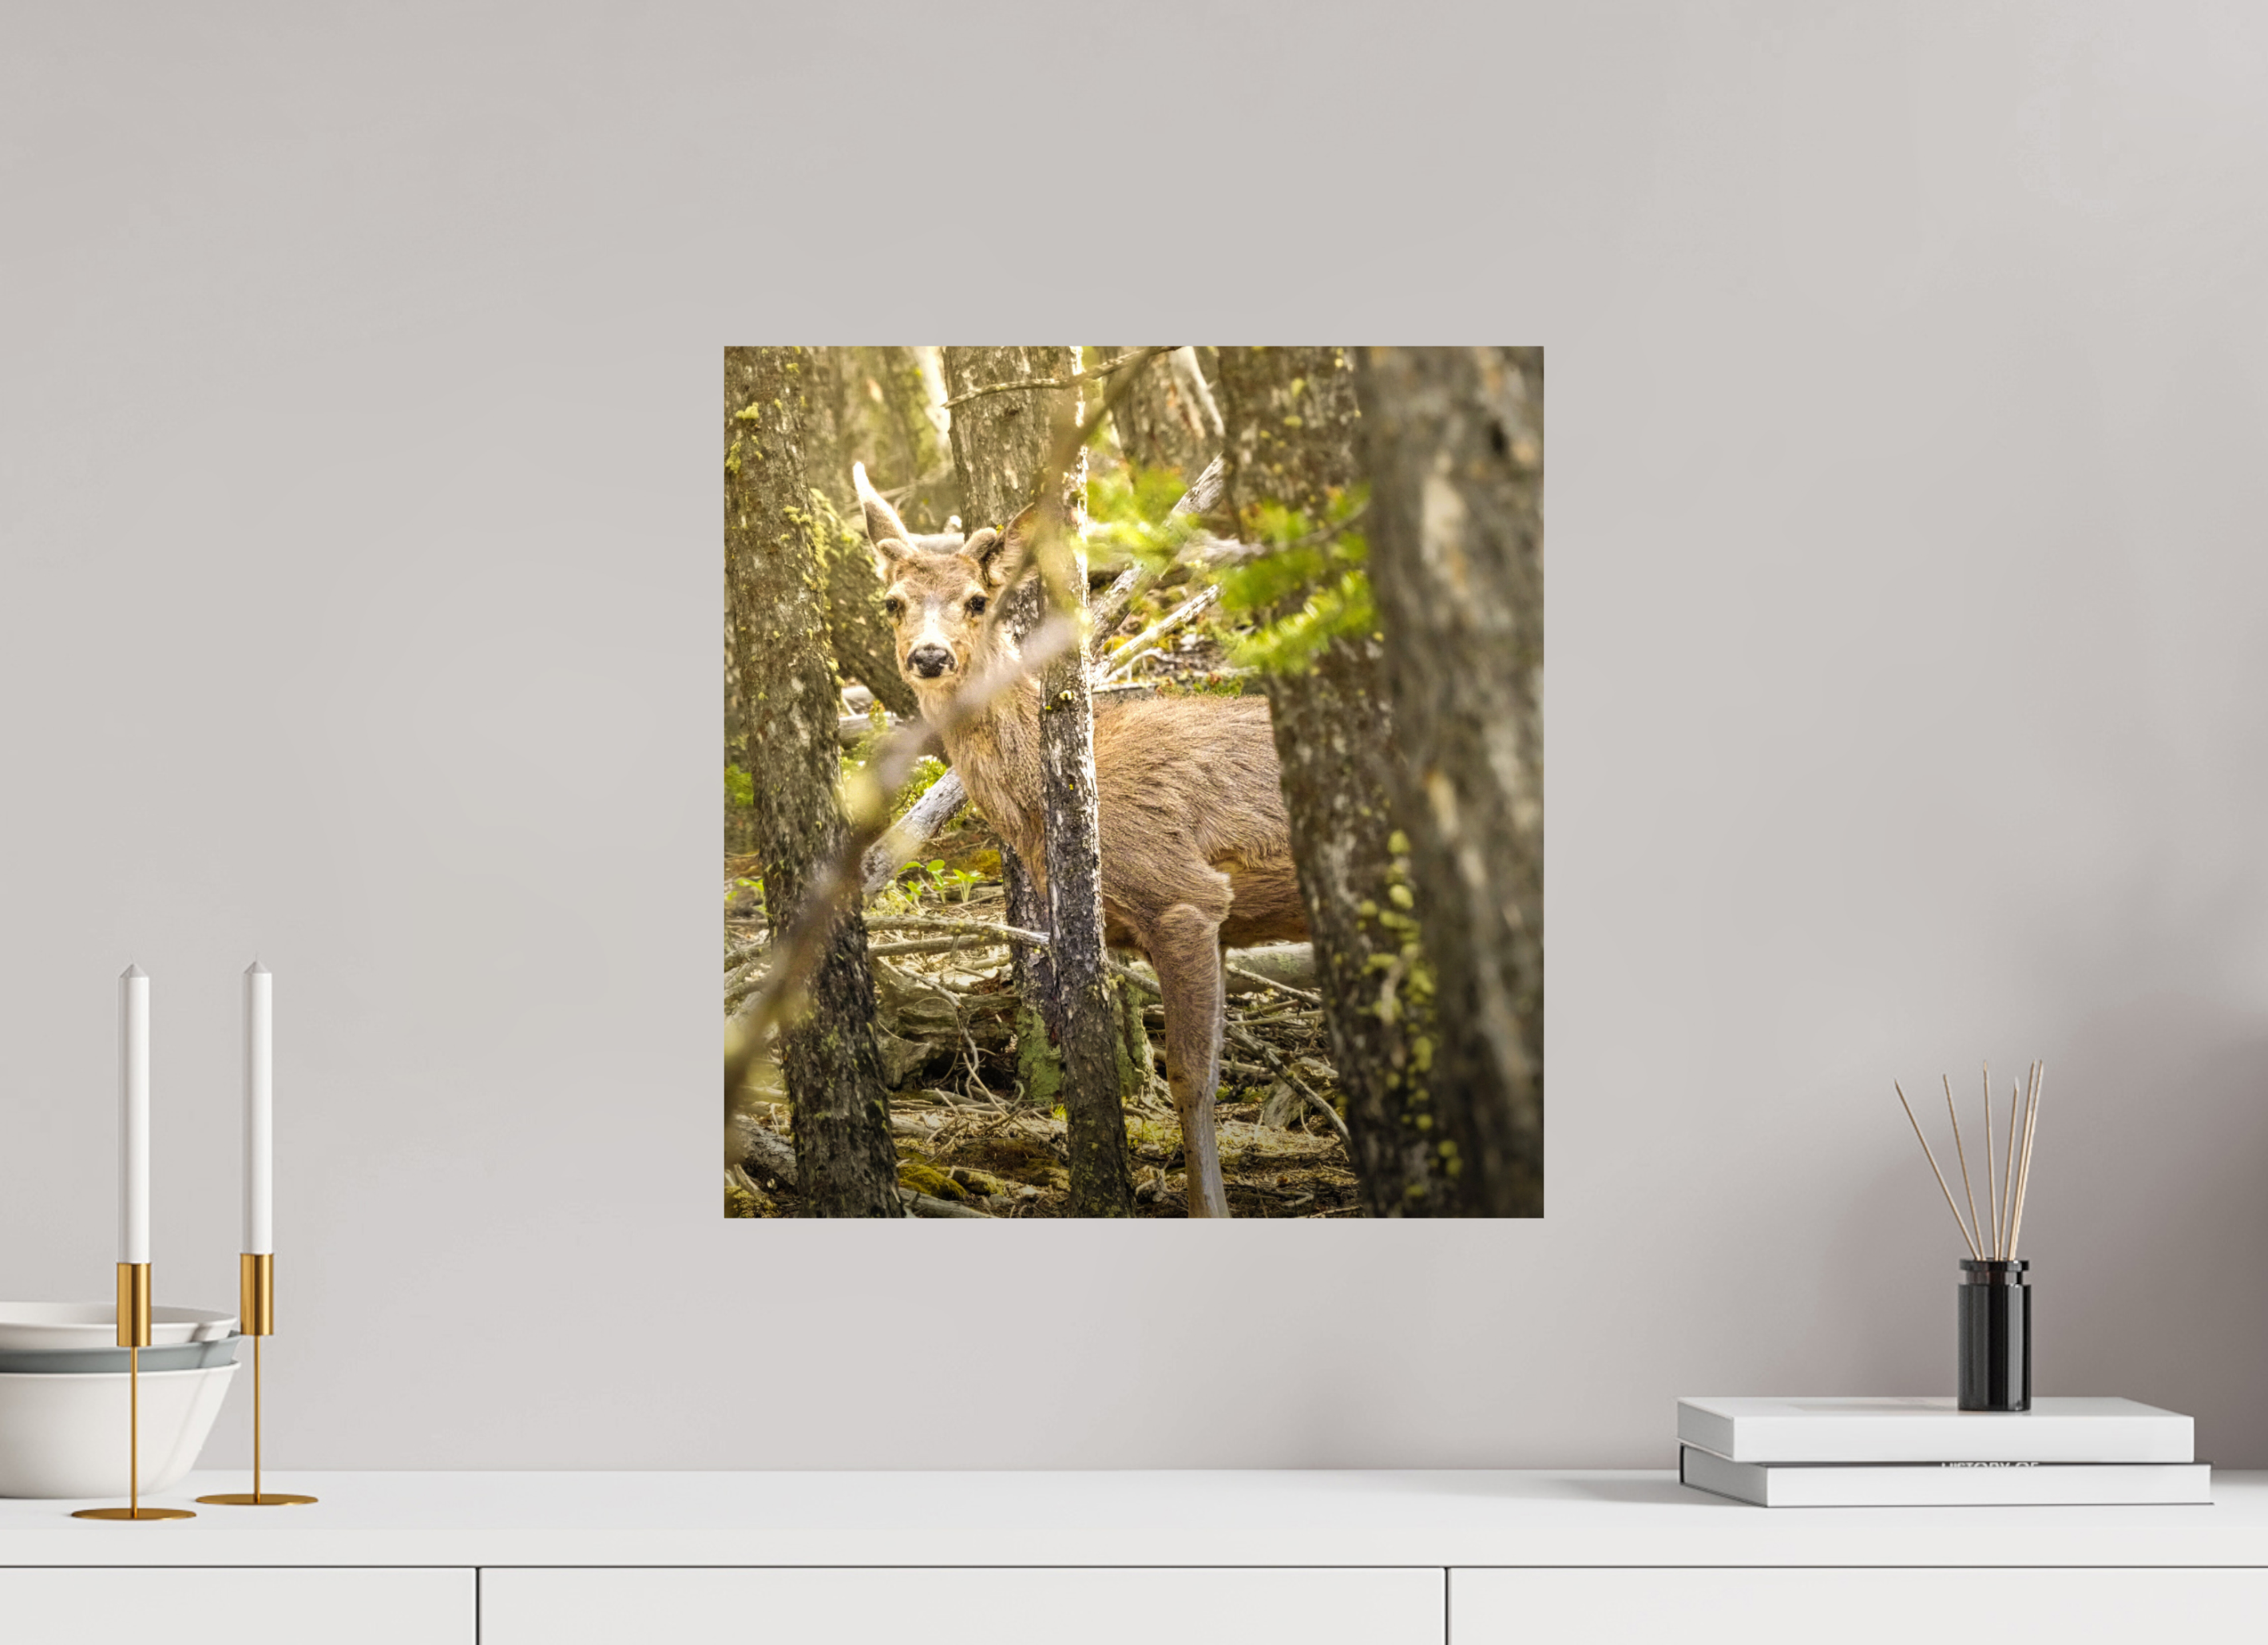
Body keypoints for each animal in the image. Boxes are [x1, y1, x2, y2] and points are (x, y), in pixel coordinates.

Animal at [854, 463, 1308, 1217]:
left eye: (977, 600)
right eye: (893, 602)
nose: (930, 655)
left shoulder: (1183, 895)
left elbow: (1193, 1080)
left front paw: (1208, 1209)